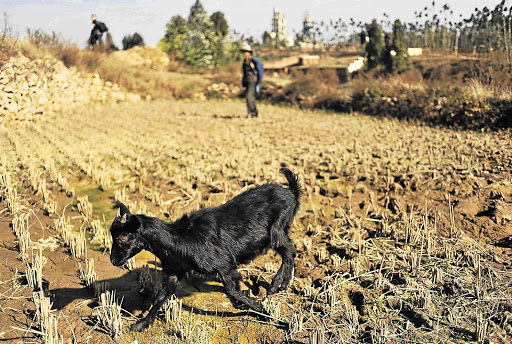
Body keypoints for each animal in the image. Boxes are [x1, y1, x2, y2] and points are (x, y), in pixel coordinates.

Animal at [109, 168, 300, 332]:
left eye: (121, 238)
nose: (113, 260)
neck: (178, 238)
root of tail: (291, 192)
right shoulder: (175, 270)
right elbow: (160, 297)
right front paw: (141, 324)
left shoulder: (224, 264)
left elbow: (231, 290)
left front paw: (260, 308)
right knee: (290, 251)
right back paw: (281, 284)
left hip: (276, 228)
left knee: (289, 251)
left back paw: (276, 285)